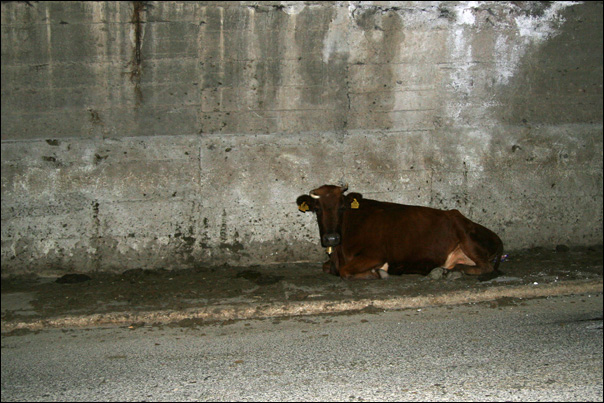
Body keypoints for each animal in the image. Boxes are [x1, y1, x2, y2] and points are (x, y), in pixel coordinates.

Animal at [294, 184, 502, 280]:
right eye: (317, 209)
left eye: (342, 207)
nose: (331, 238)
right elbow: (326, 267)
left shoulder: (375, 254)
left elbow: (346, 271)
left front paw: (379, 273)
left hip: (466, 236)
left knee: (486, 267)